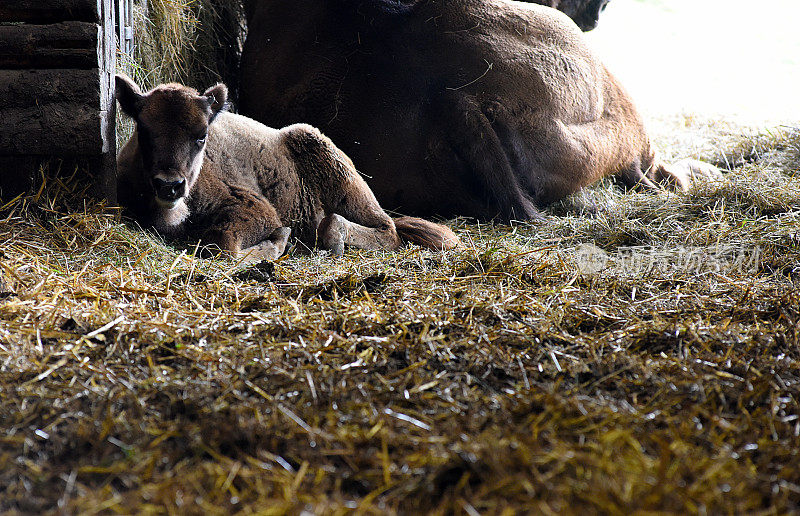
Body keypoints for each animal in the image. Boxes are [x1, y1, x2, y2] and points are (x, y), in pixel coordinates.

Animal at [115, 75, 460, 262]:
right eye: (143, 131)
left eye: (201, 136)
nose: (169, 185)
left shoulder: (256, 209)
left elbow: (224, 244)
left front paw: (281, 239)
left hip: (347, 186)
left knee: (388, 229)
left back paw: (333, 239)